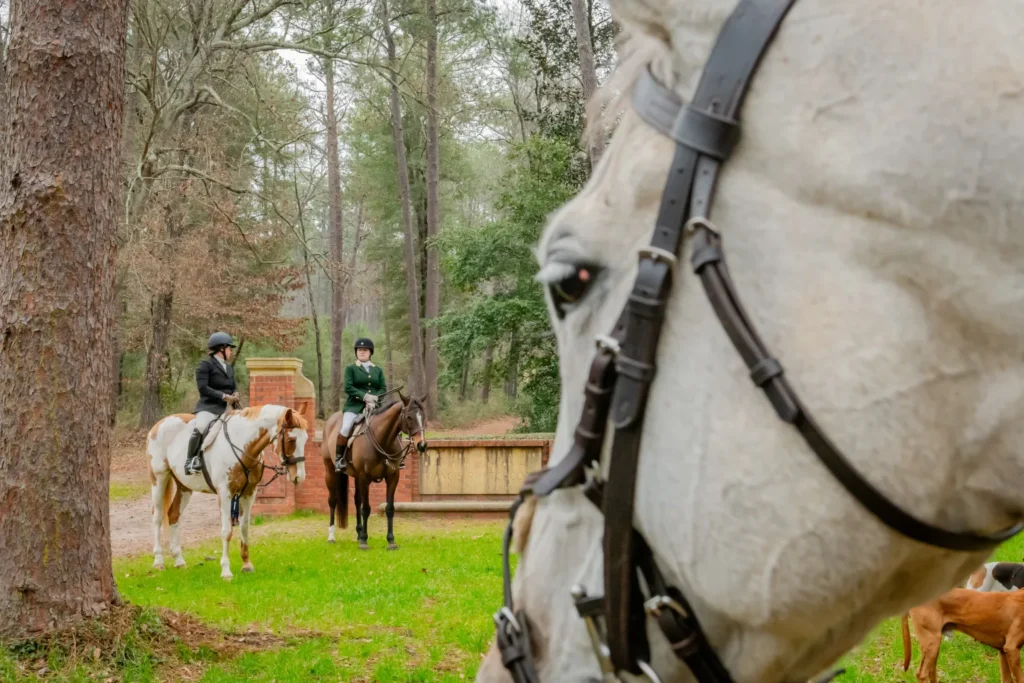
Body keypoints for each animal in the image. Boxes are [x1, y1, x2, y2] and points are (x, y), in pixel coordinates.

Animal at [147, 404, 308, 580]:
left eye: (306, 439)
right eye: (291, 440)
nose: (299, 476)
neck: (243, 446)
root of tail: (159, 424)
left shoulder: (249, 493)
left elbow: (244, 527)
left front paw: (247, 565)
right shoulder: (225, 493)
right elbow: (226, 531)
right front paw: (226, 571)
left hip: (184, 487)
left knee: (174, 515)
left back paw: (179, 561)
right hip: (159, 479)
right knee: (157, 517)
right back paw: (158, 561)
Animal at [321, 392, 427, 550]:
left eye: (423, 415)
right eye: (409, 417)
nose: (422, 445)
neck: (382, 439)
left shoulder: (392, 477)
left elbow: (389, 508)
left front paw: (391, 541)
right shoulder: (365, 478)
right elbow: (366, 509)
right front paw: (365, 541)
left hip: (356, 477)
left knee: (357, 500)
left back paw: (359, 533)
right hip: (330, 471)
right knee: (333, 500)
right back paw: (332, 536)